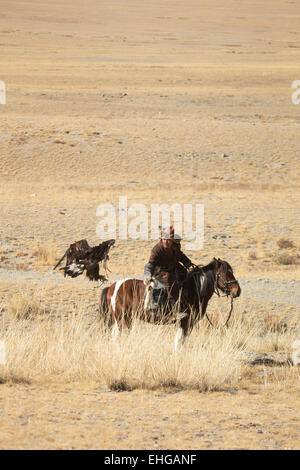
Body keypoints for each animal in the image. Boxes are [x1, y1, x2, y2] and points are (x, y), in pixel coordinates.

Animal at [101, 258, 241, 350]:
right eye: (225, 273)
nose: (237, 290)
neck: (194, 288)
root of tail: (113, 287)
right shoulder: (185, 320)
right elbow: (180, 340)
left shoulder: (186, 322)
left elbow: (180, 340)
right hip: (121, 318)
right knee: (116, 336)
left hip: (127, 319)